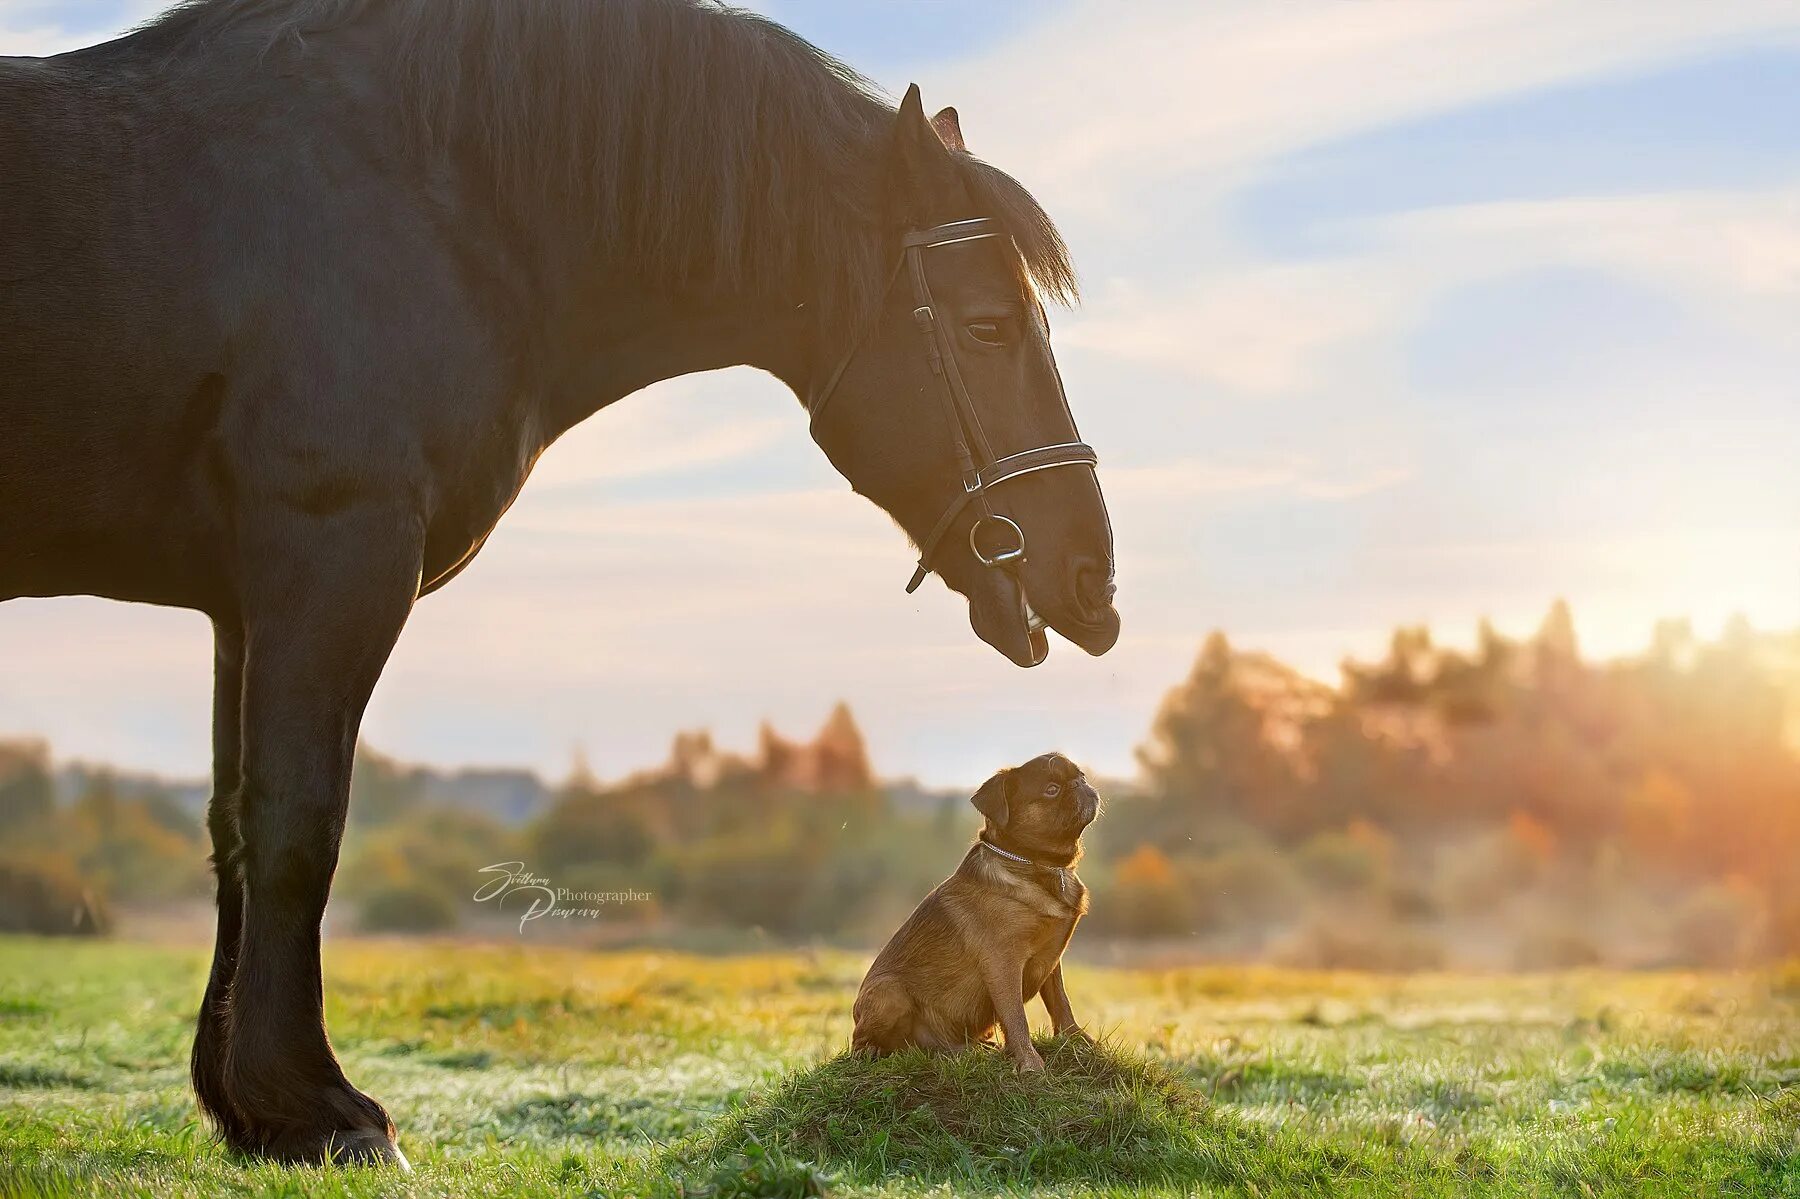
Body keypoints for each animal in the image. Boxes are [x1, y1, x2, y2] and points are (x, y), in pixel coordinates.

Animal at [853, 752, 1094, 1065]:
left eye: (1081, 776)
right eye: (1052, 790)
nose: (1080, 784)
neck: (1037, 864)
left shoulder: (1051, 959)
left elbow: (1060, 1002)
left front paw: (1076, 1039)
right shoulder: (1003, 964)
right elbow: (1016, 1017)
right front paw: (1029, 1063)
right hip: (889, 992)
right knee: (861, 1042)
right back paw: (872, 1049)